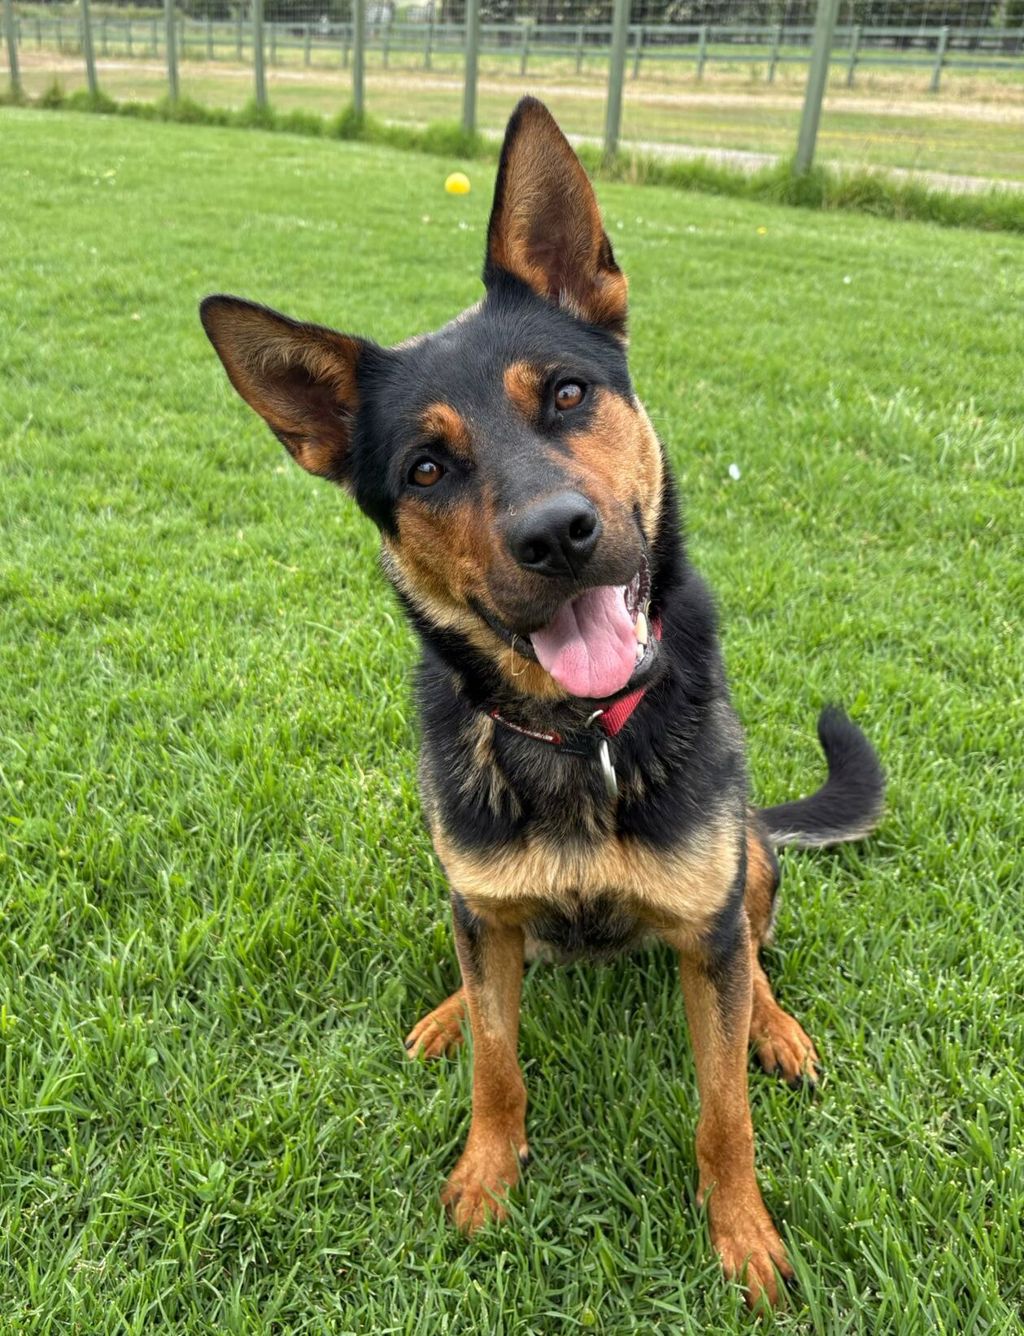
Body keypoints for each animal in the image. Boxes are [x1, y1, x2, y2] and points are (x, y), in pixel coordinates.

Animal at [200, 96, 883, 1308]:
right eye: (426, 468)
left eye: (567, 395)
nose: (556, 536)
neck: (579, 741)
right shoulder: (482, 907)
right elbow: (498, 1063)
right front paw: (487, 1169)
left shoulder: (706, 926)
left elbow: (723, 1111)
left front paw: (742, 1233)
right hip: (474, 902)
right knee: (487, 964)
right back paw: (447, 1006)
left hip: (748, 862)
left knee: (753, 948)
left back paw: (774, 1024)